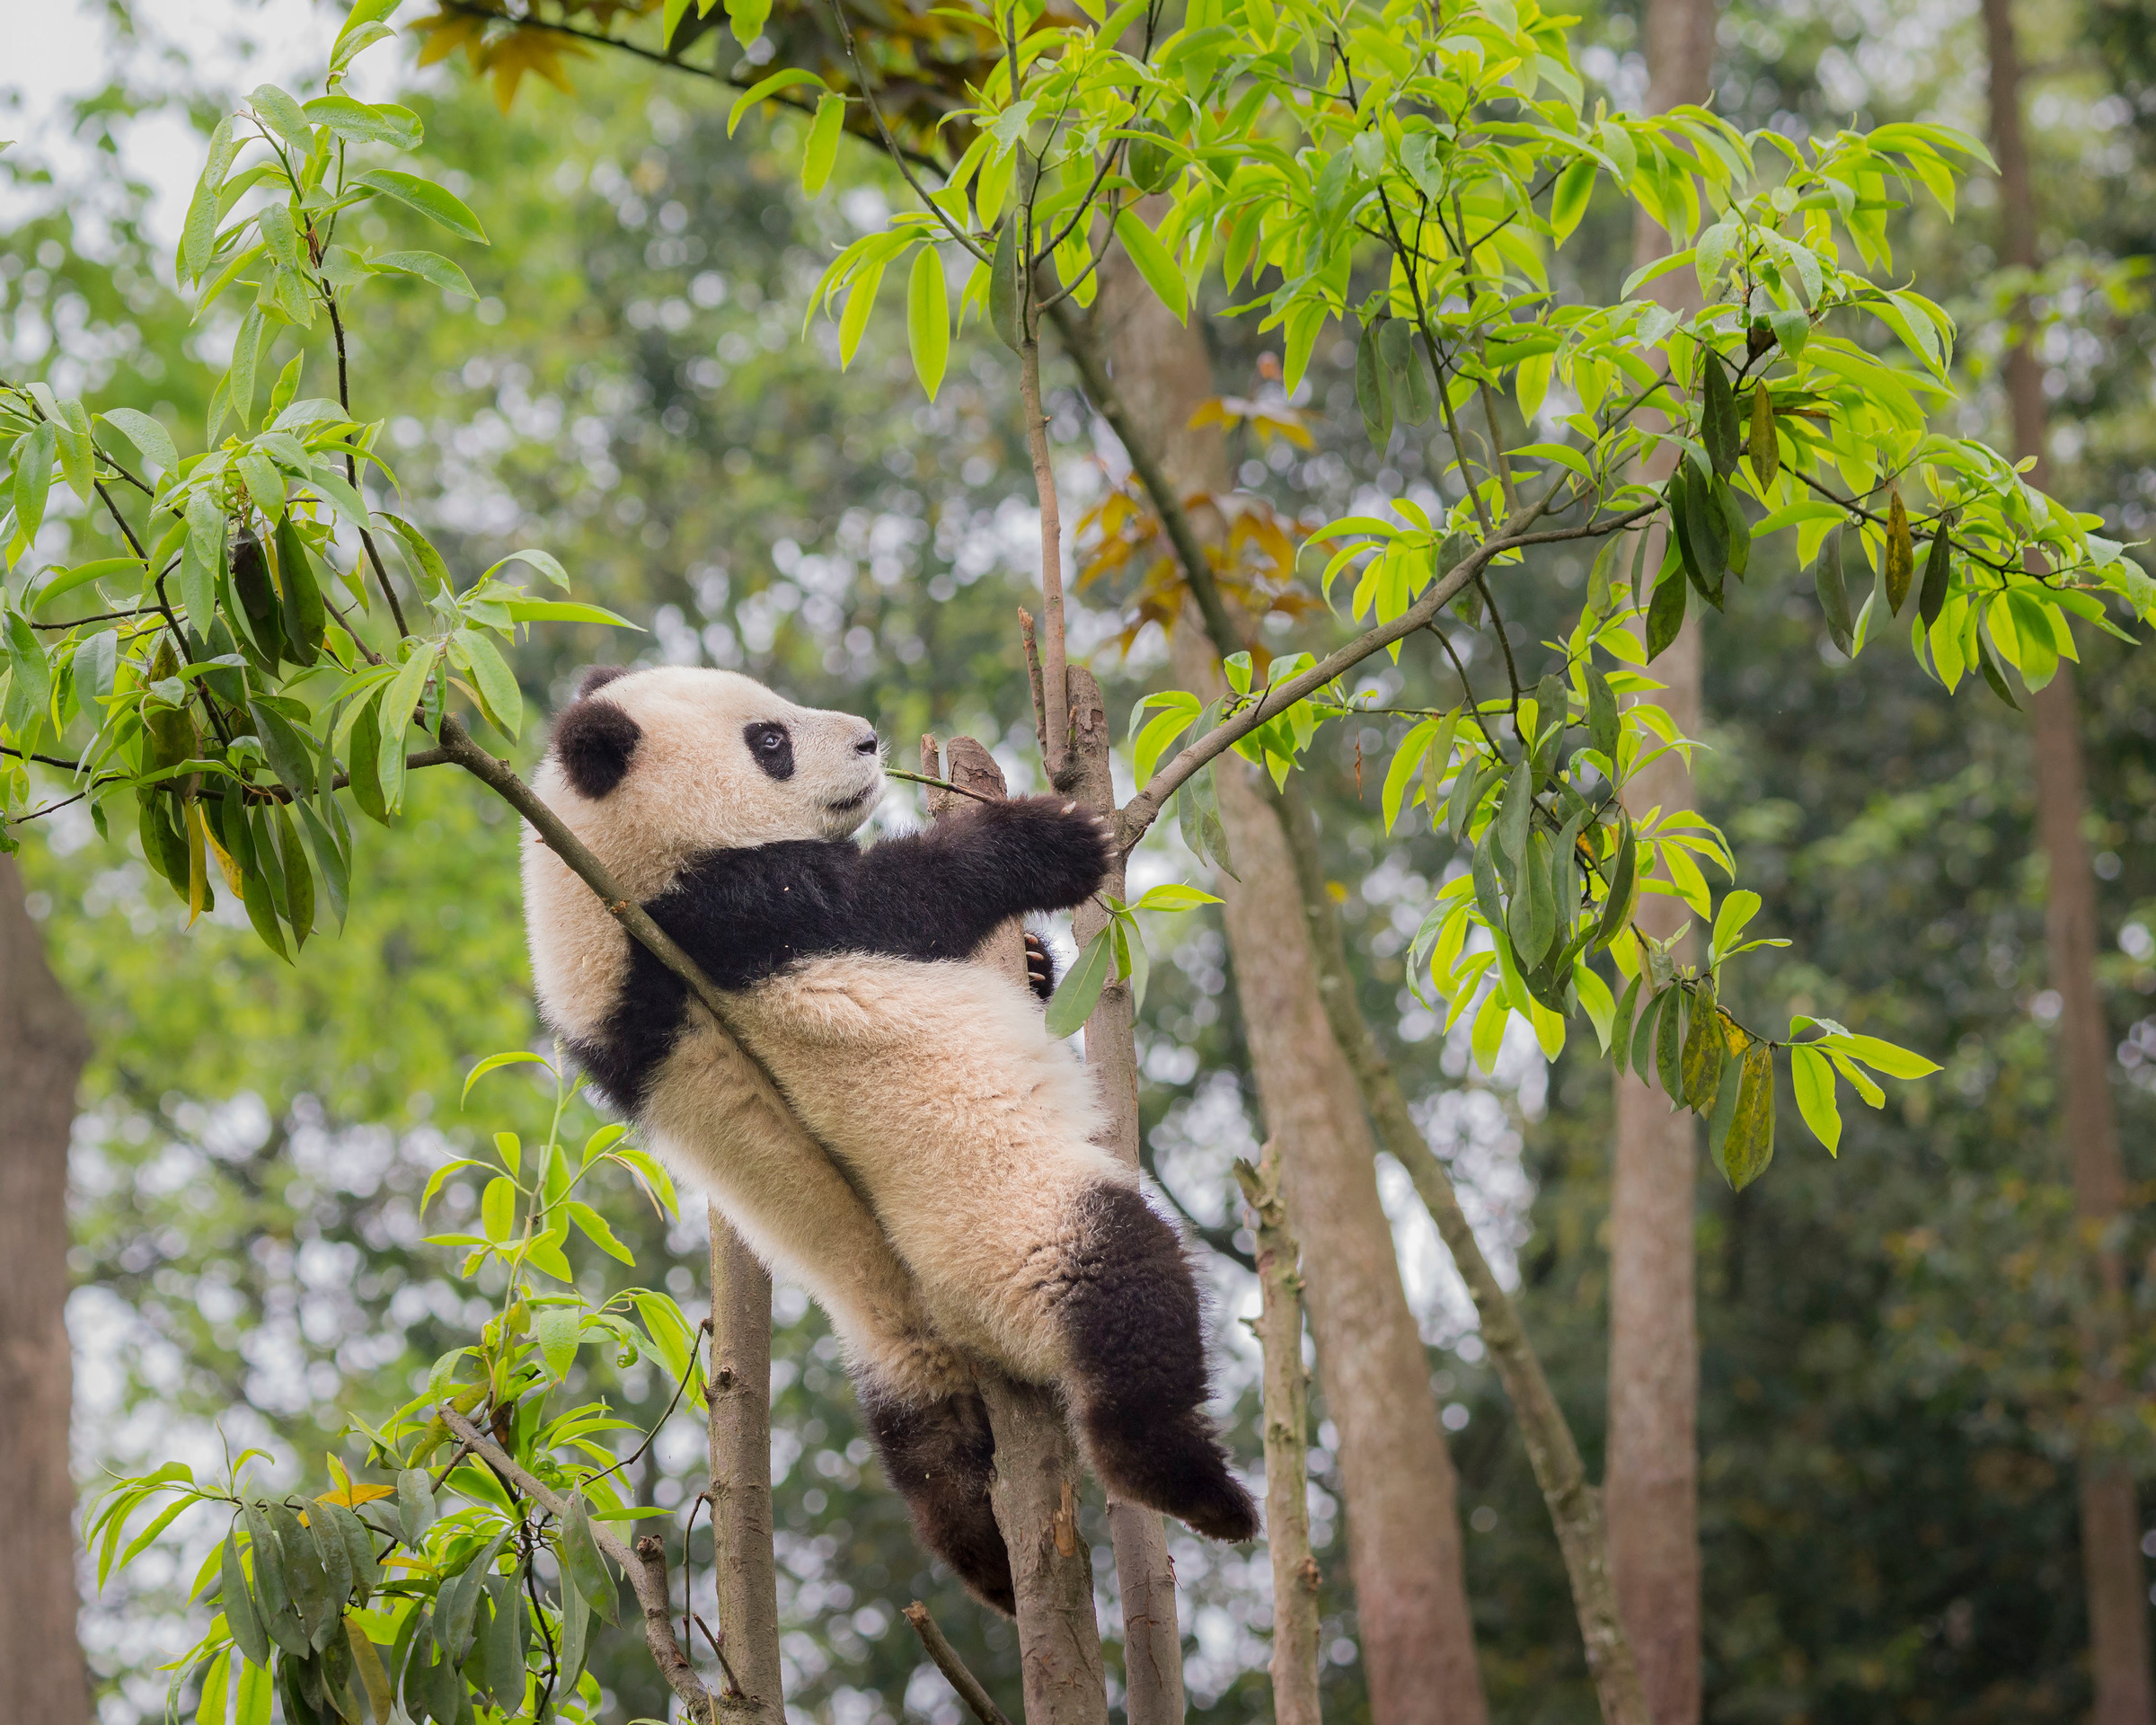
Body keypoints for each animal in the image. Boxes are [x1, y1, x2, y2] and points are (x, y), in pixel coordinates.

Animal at [526, 664, 1259, 1621]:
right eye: (770, 741)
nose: (870, 740)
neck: (601, 902)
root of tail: (959, 1322)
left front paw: (1034, 961)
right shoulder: (727, 914)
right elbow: (900, 898)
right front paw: (1057, 838)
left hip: (893, 1340)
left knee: (926, 1451)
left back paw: (992, 1566)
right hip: (1014, 1226)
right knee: (1126, 1294)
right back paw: (1199, 1490)